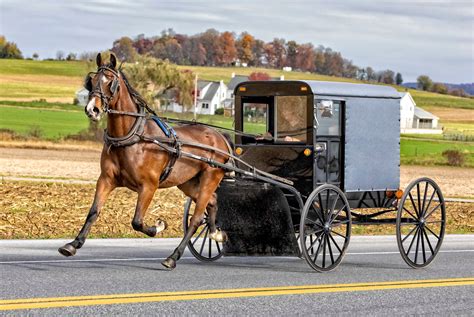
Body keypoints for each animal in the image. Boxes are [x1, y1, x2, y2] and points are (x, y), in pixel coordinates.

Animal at [58, 52, 232, 270]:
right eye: (92, 81)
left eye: (111, 82)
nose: (93, 109)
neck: (134, 137)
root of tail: (220, 137)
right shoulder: (106, 179)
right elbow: (94, 211)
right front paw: (73, 244)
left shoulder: (149, 186)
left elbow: (137, 221)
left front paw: (158, 226)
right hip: (188, 182)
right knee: (212, 202)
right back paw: (216, 234)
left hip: (210, 176)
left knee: (196, 218)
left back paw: (173, 257)